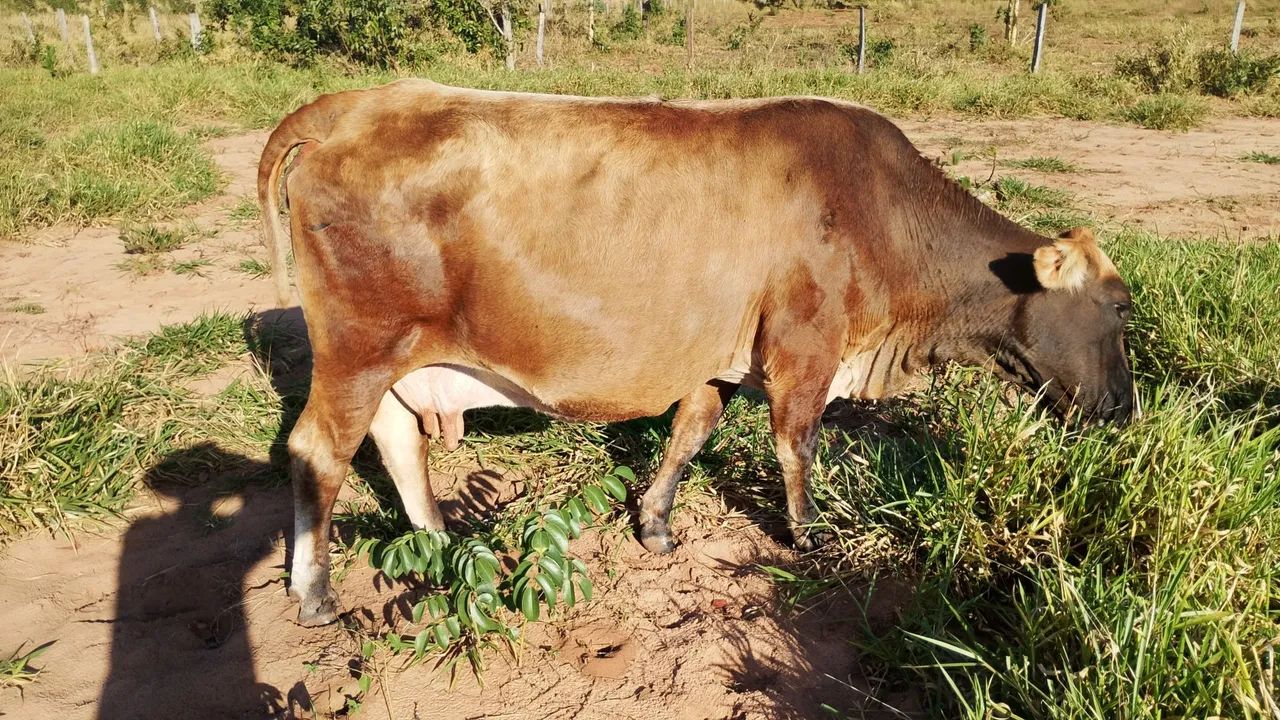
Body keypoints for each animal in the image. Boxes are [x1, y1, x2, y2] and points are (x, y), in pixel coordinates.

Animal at [257, 80, 1134, 626]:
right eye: (1121, 308)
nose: (1126, 409)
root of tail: (357, 104)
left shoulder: (721, 358)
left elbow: (688, 436)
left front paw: (654, 525)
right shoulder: (804, 349)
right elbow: (796, 445)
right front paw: (811, 537)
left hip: (390, 364)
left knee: (396, 444)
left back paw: (440, 545)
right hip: (359, 350)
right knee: (318, 452)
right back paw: (316, 593)